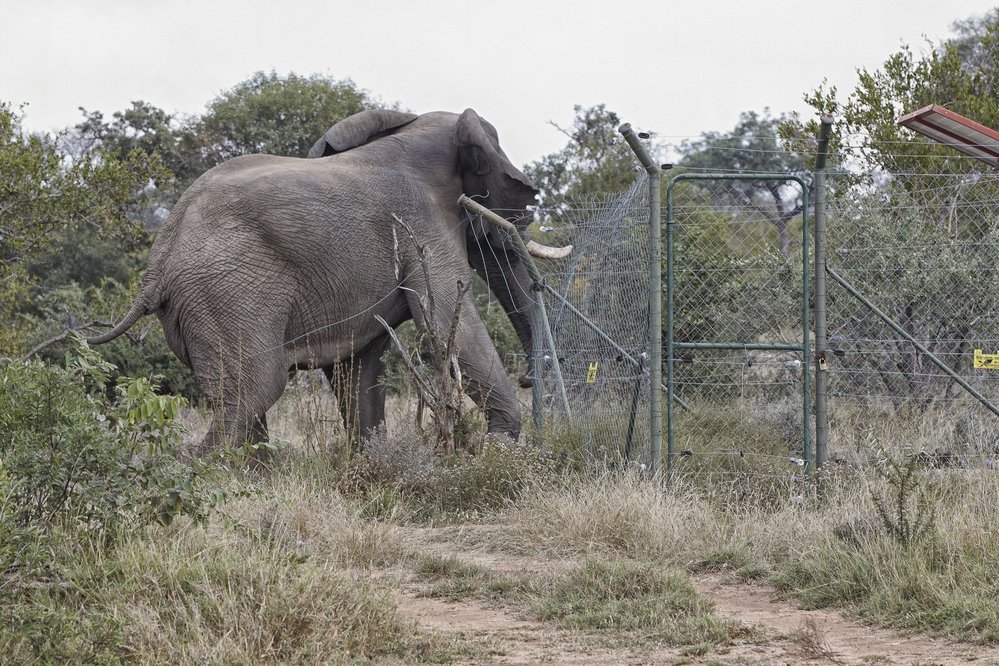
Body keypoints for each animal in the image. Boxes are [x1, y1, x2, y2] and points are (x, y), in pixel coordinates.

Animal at [88, 107, 572, 452]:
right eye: (512, 198)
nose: (529, 378)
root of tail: (158, 264)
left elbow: (359, 367)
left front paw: (372, 459)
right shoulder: (419, 225)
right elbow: (452, 324)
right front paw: (499, 448)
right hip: (226, 294)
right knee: (254, 390)